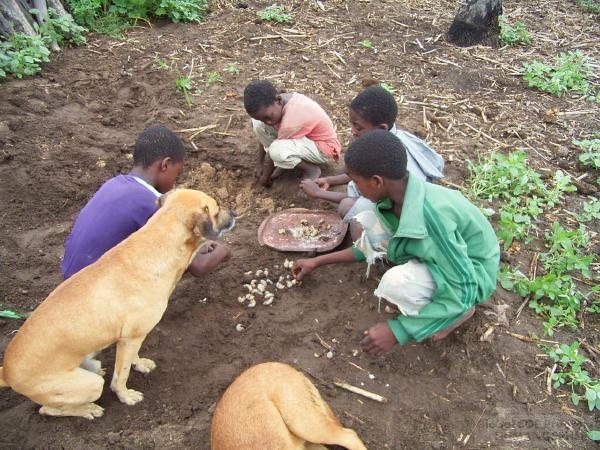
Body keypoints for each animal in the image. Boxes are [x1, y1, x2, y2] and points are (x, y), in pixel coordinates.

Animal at [0, 189, 234, 418]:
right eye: (216, 207)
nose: (233, 212)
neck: (157, 245)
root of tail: (7, 373)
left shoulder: (132, 338)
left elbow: (131, 360)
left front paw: (140, 364)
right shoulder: (132, 337)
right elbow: (121, 376)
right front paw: (126, 397)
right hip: (89, 385)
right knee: (48, 409)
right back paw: (89, 409)